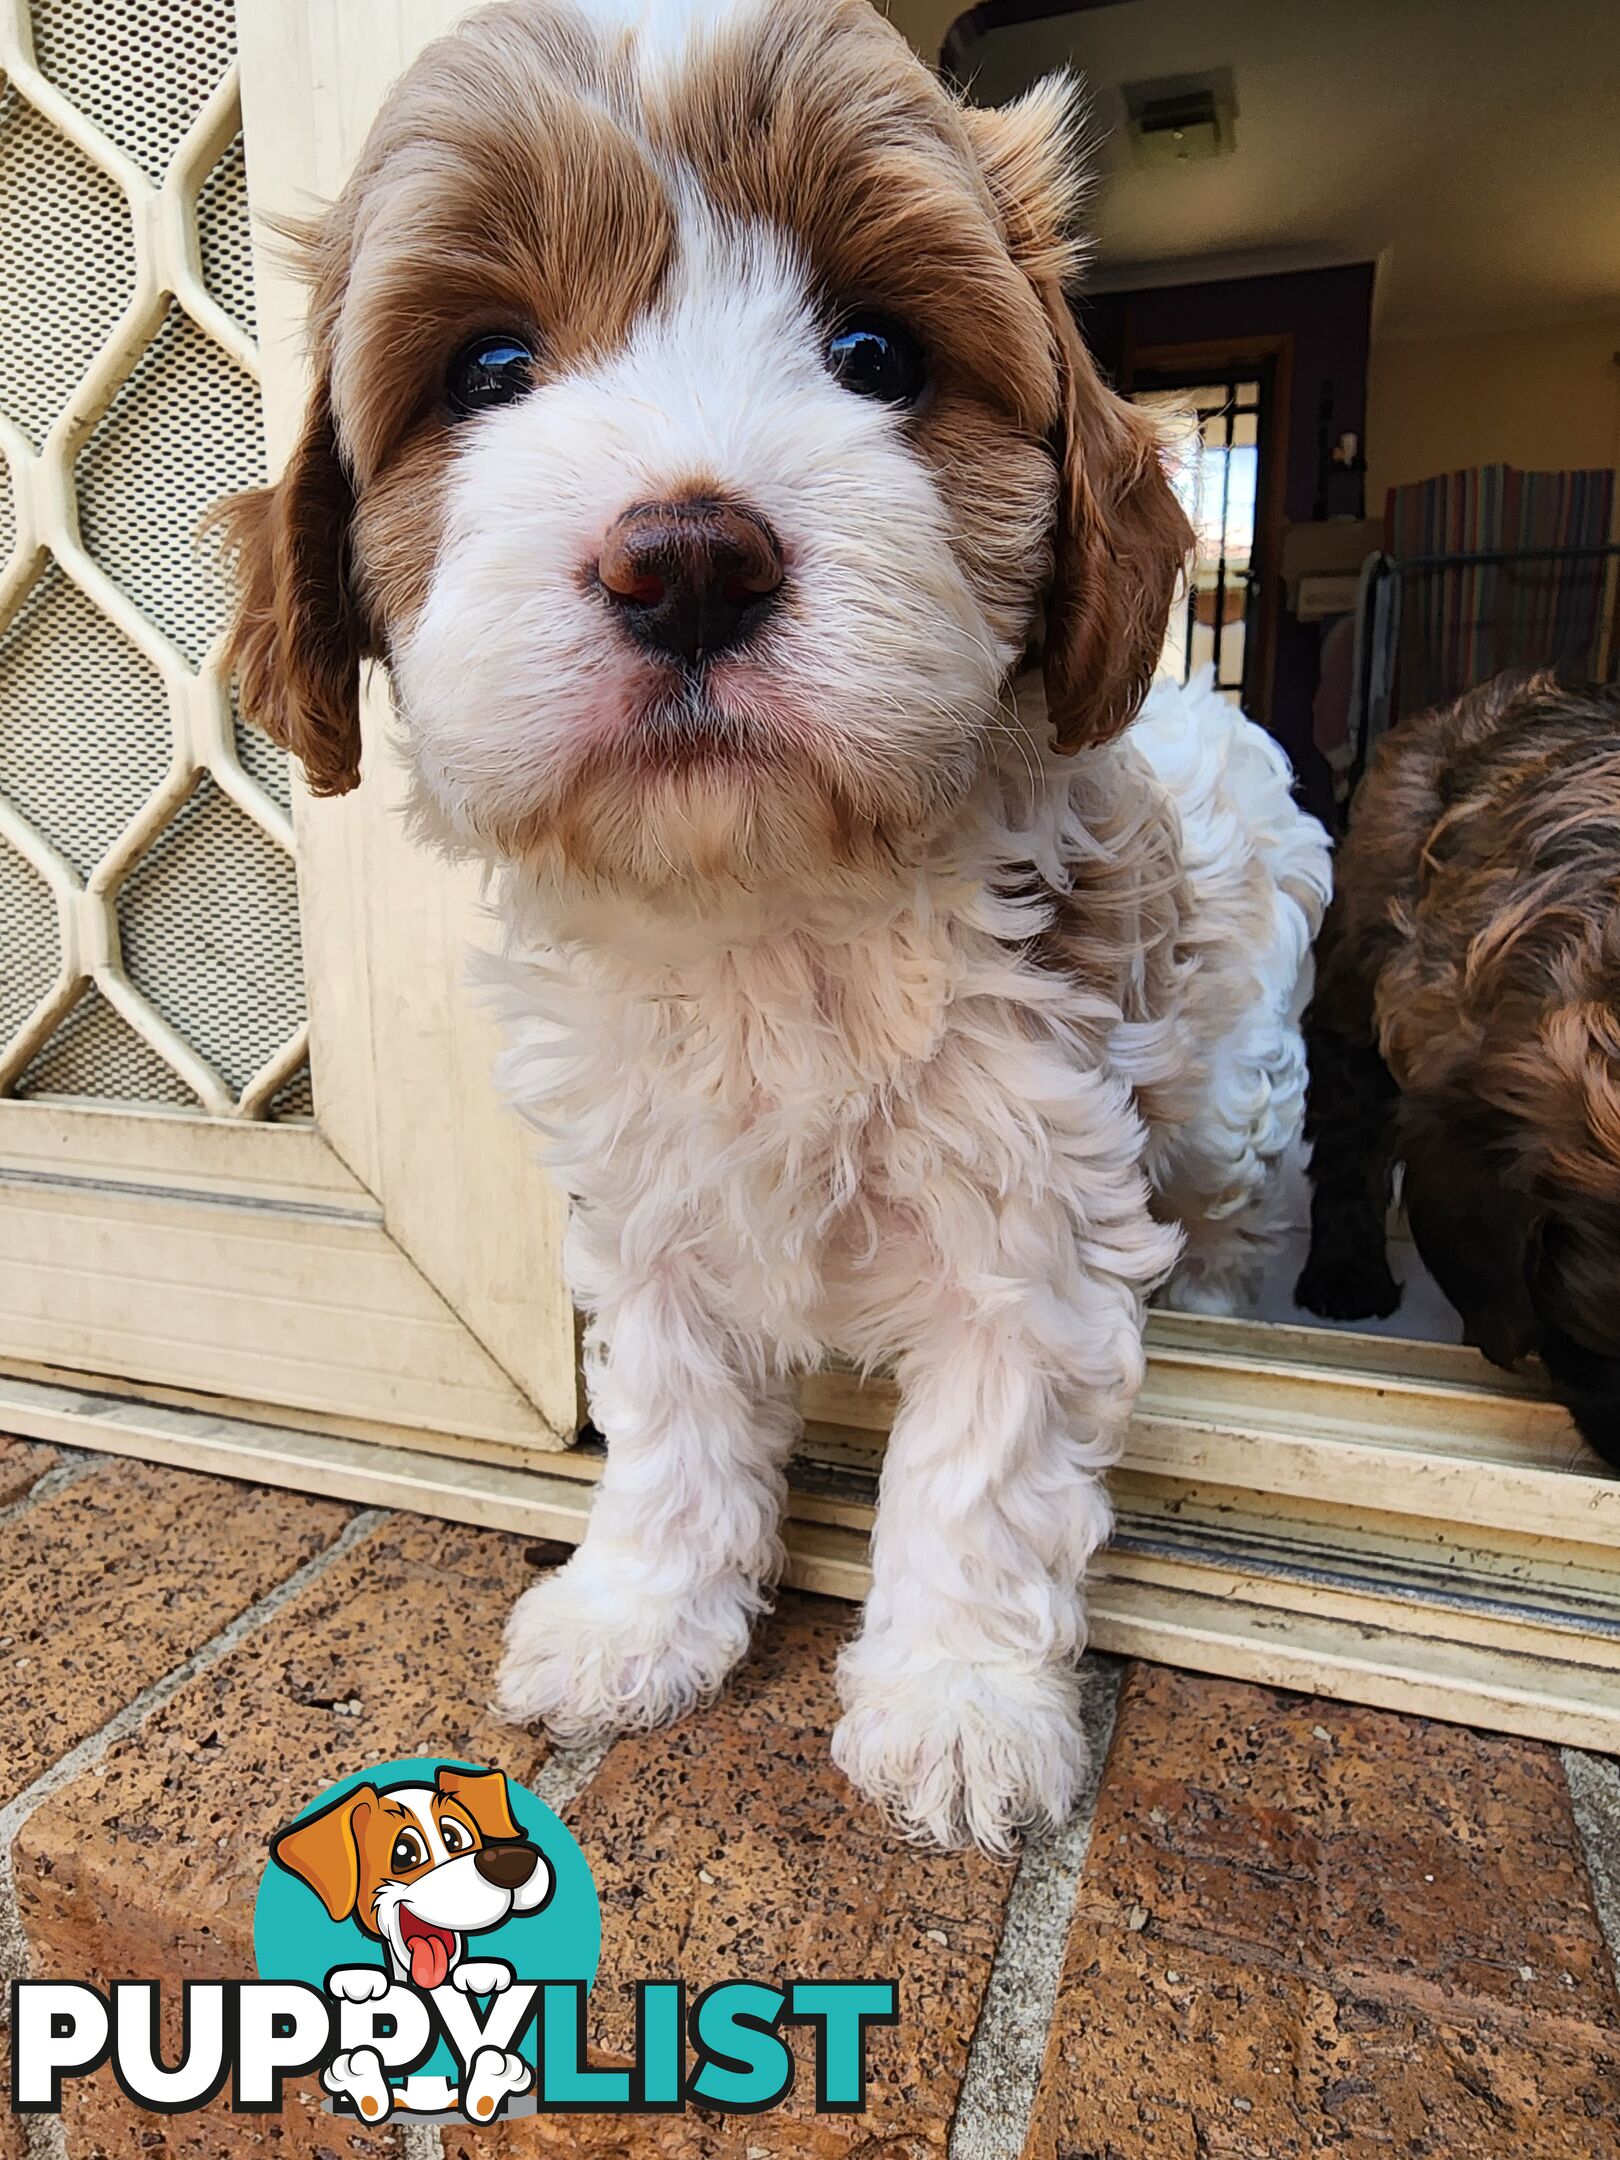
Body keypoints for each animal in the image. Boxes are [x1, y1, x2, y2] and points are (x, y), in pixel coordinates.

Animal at [219, 4, 1330, 1857]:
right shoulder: (647, 1203)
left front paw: (959, 1705)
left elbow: (984, 1468)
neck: (767, 904)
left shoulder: (1031, 1206)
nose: (686, 561)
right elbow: (672, 1420)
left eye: (876, 352)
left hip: (1237, 1100)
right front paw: (637, 1616)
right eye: (489, 369)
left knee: (1245, 1219)